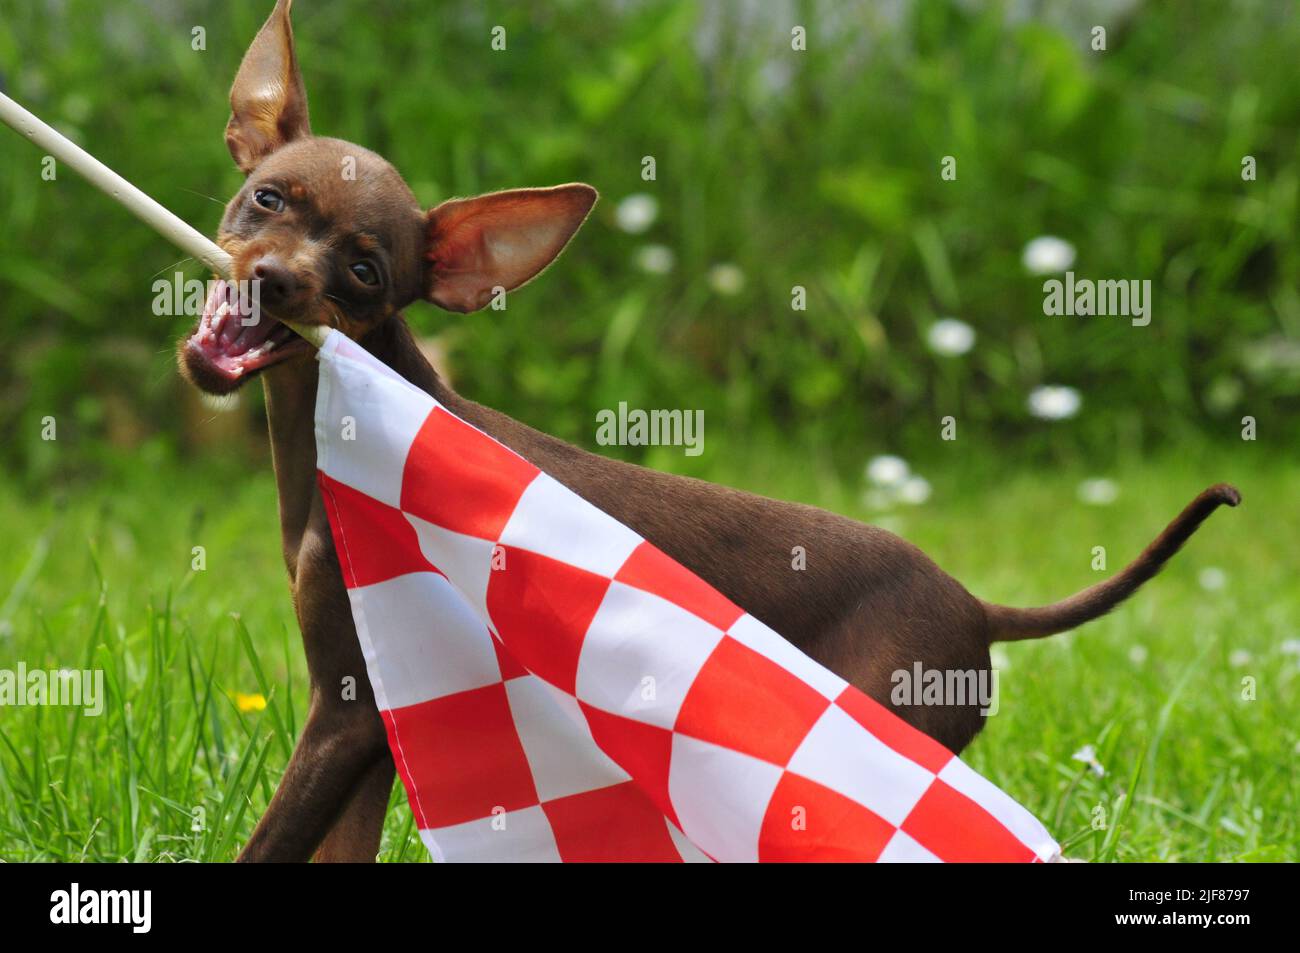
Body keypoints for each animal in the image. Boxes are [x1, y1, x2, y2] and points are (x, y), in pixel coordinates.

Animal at [175, 1, 1237, 863]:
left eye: (362, 272)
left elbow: (269, 846)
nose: (278, 280)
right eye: (267, 198)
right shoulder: (366, 716)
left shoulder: (344, 716)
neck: (345, 411)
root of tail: (977, 606)